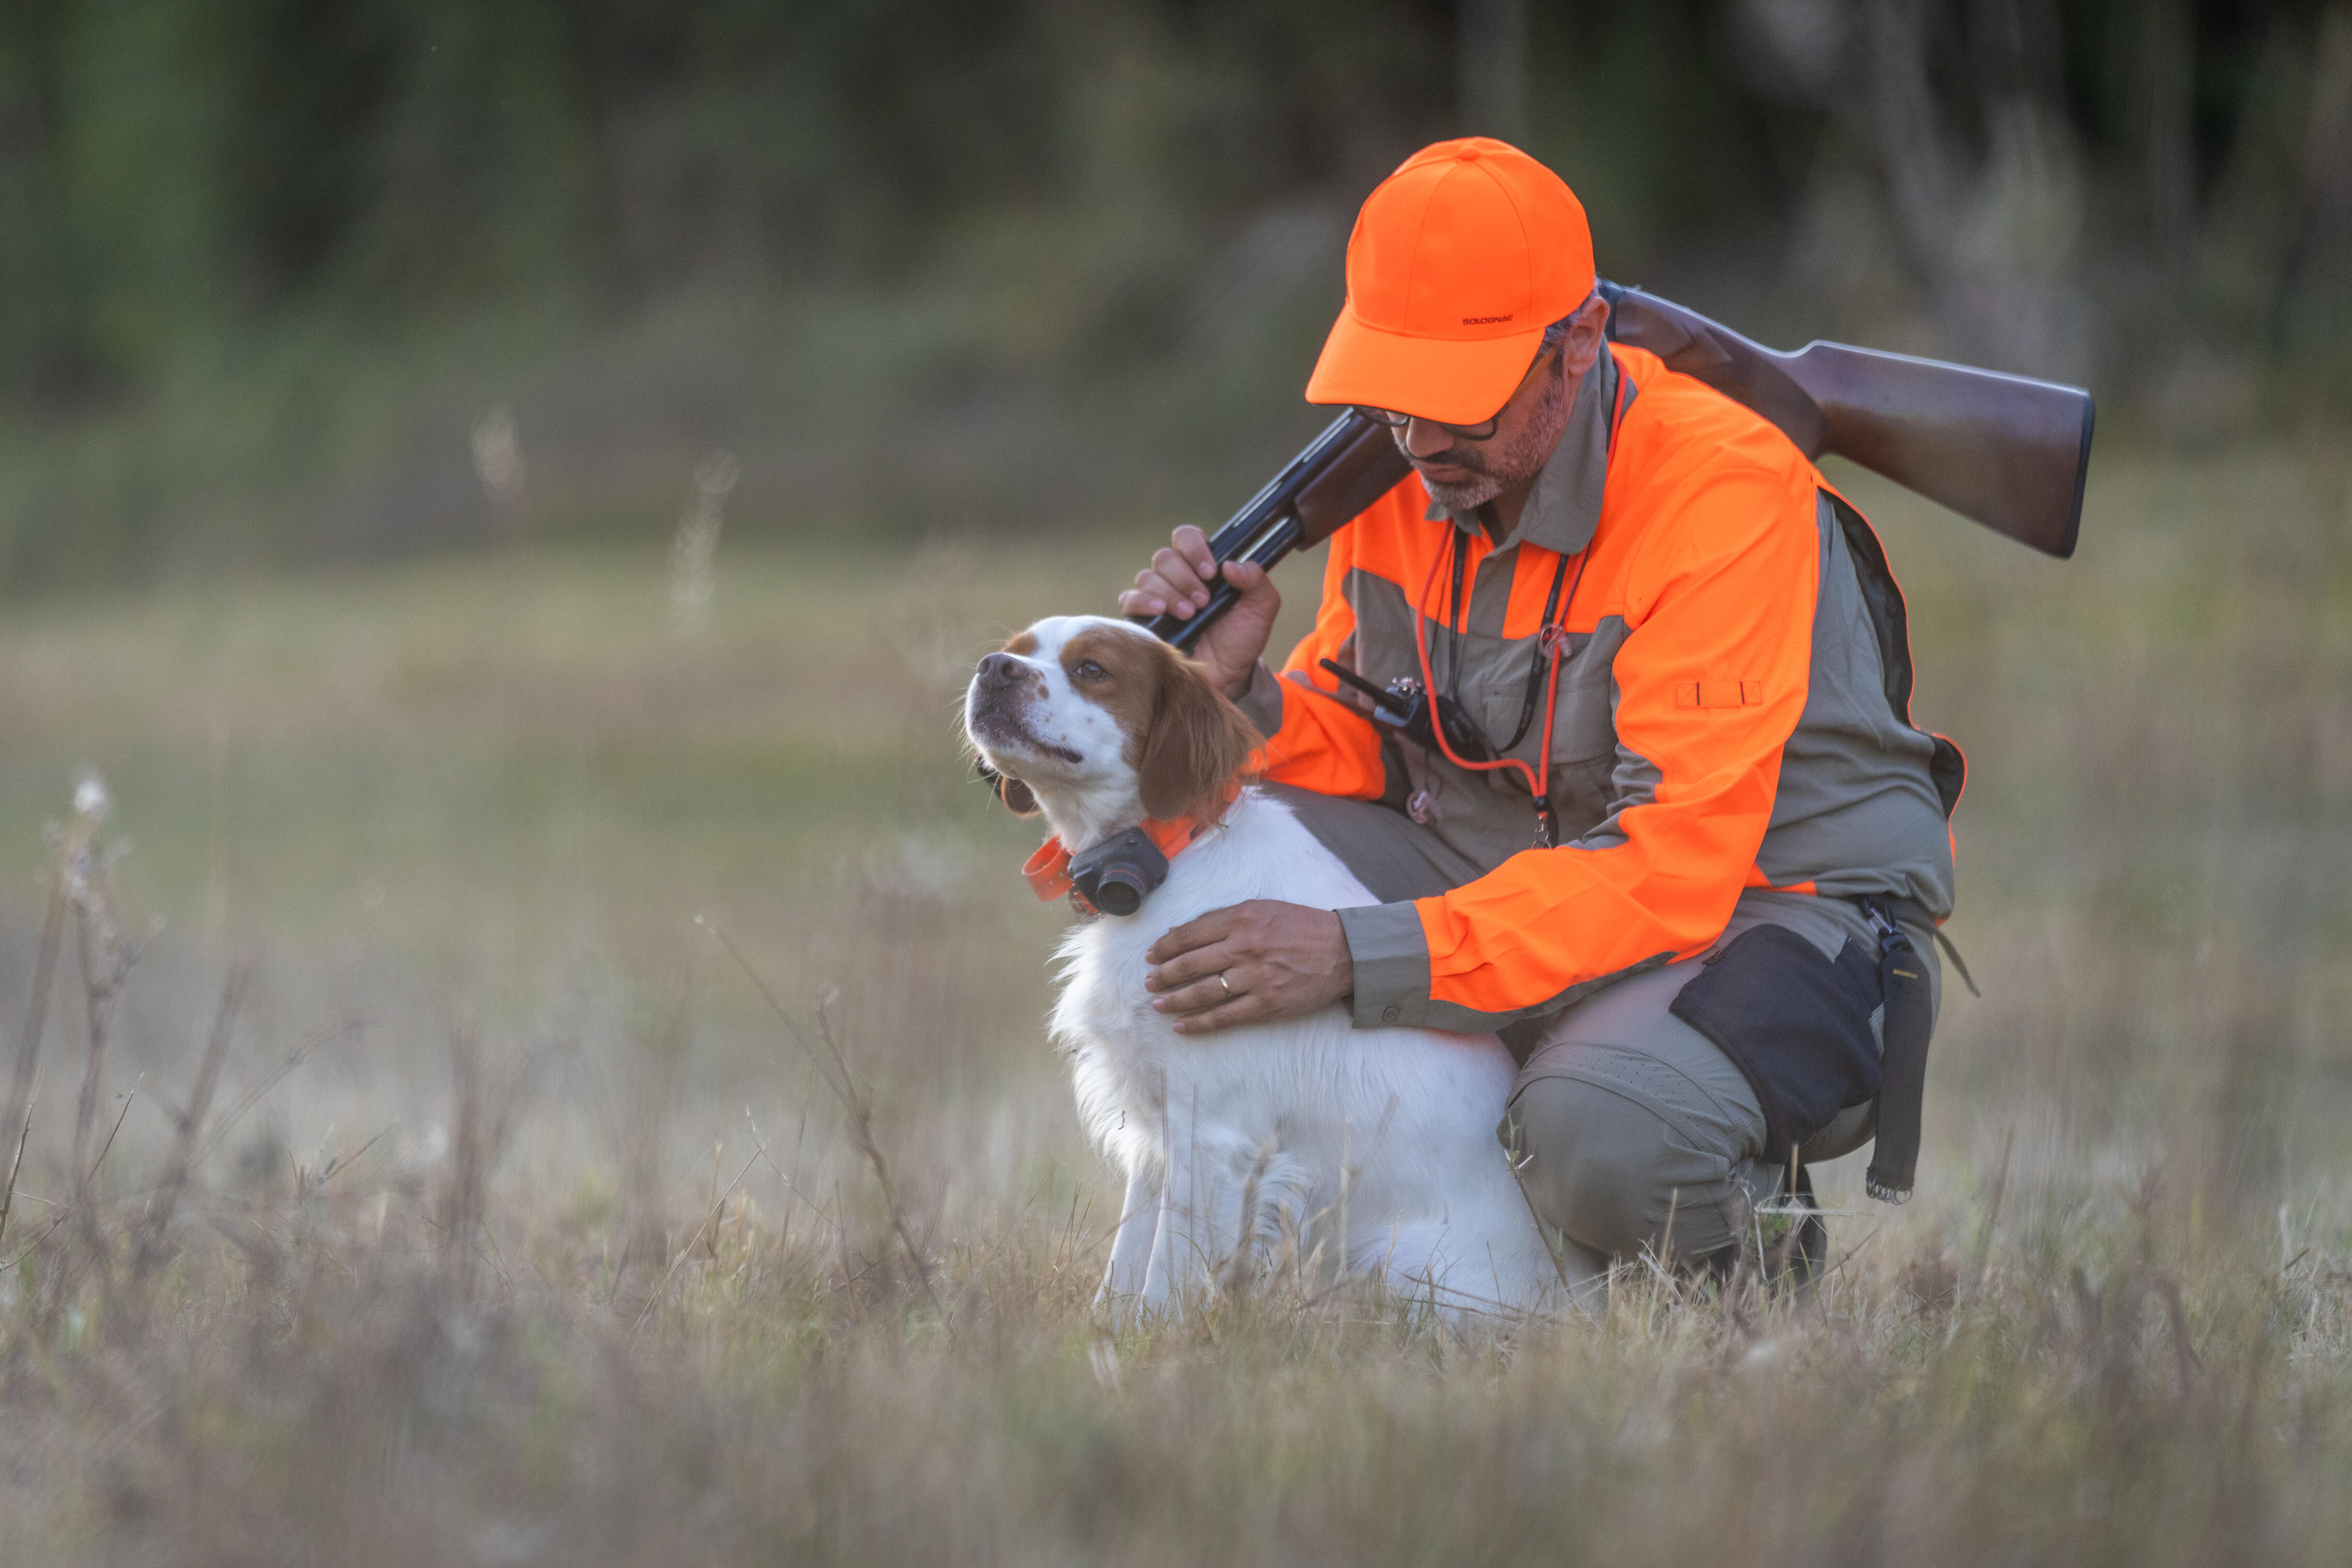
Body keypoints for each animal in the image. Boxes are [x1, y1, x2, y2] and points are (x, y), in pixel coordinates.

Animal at [964, 620, 1552, 1316]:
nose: (992, 668)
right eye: (1020, 650)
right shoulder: (1158, 1135)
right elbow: (1123, 1272)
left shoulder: (1213, 1135)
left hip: (1401, 1263)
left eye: (1092, 669)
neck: (1170, 859)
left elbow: (1163, 1284)